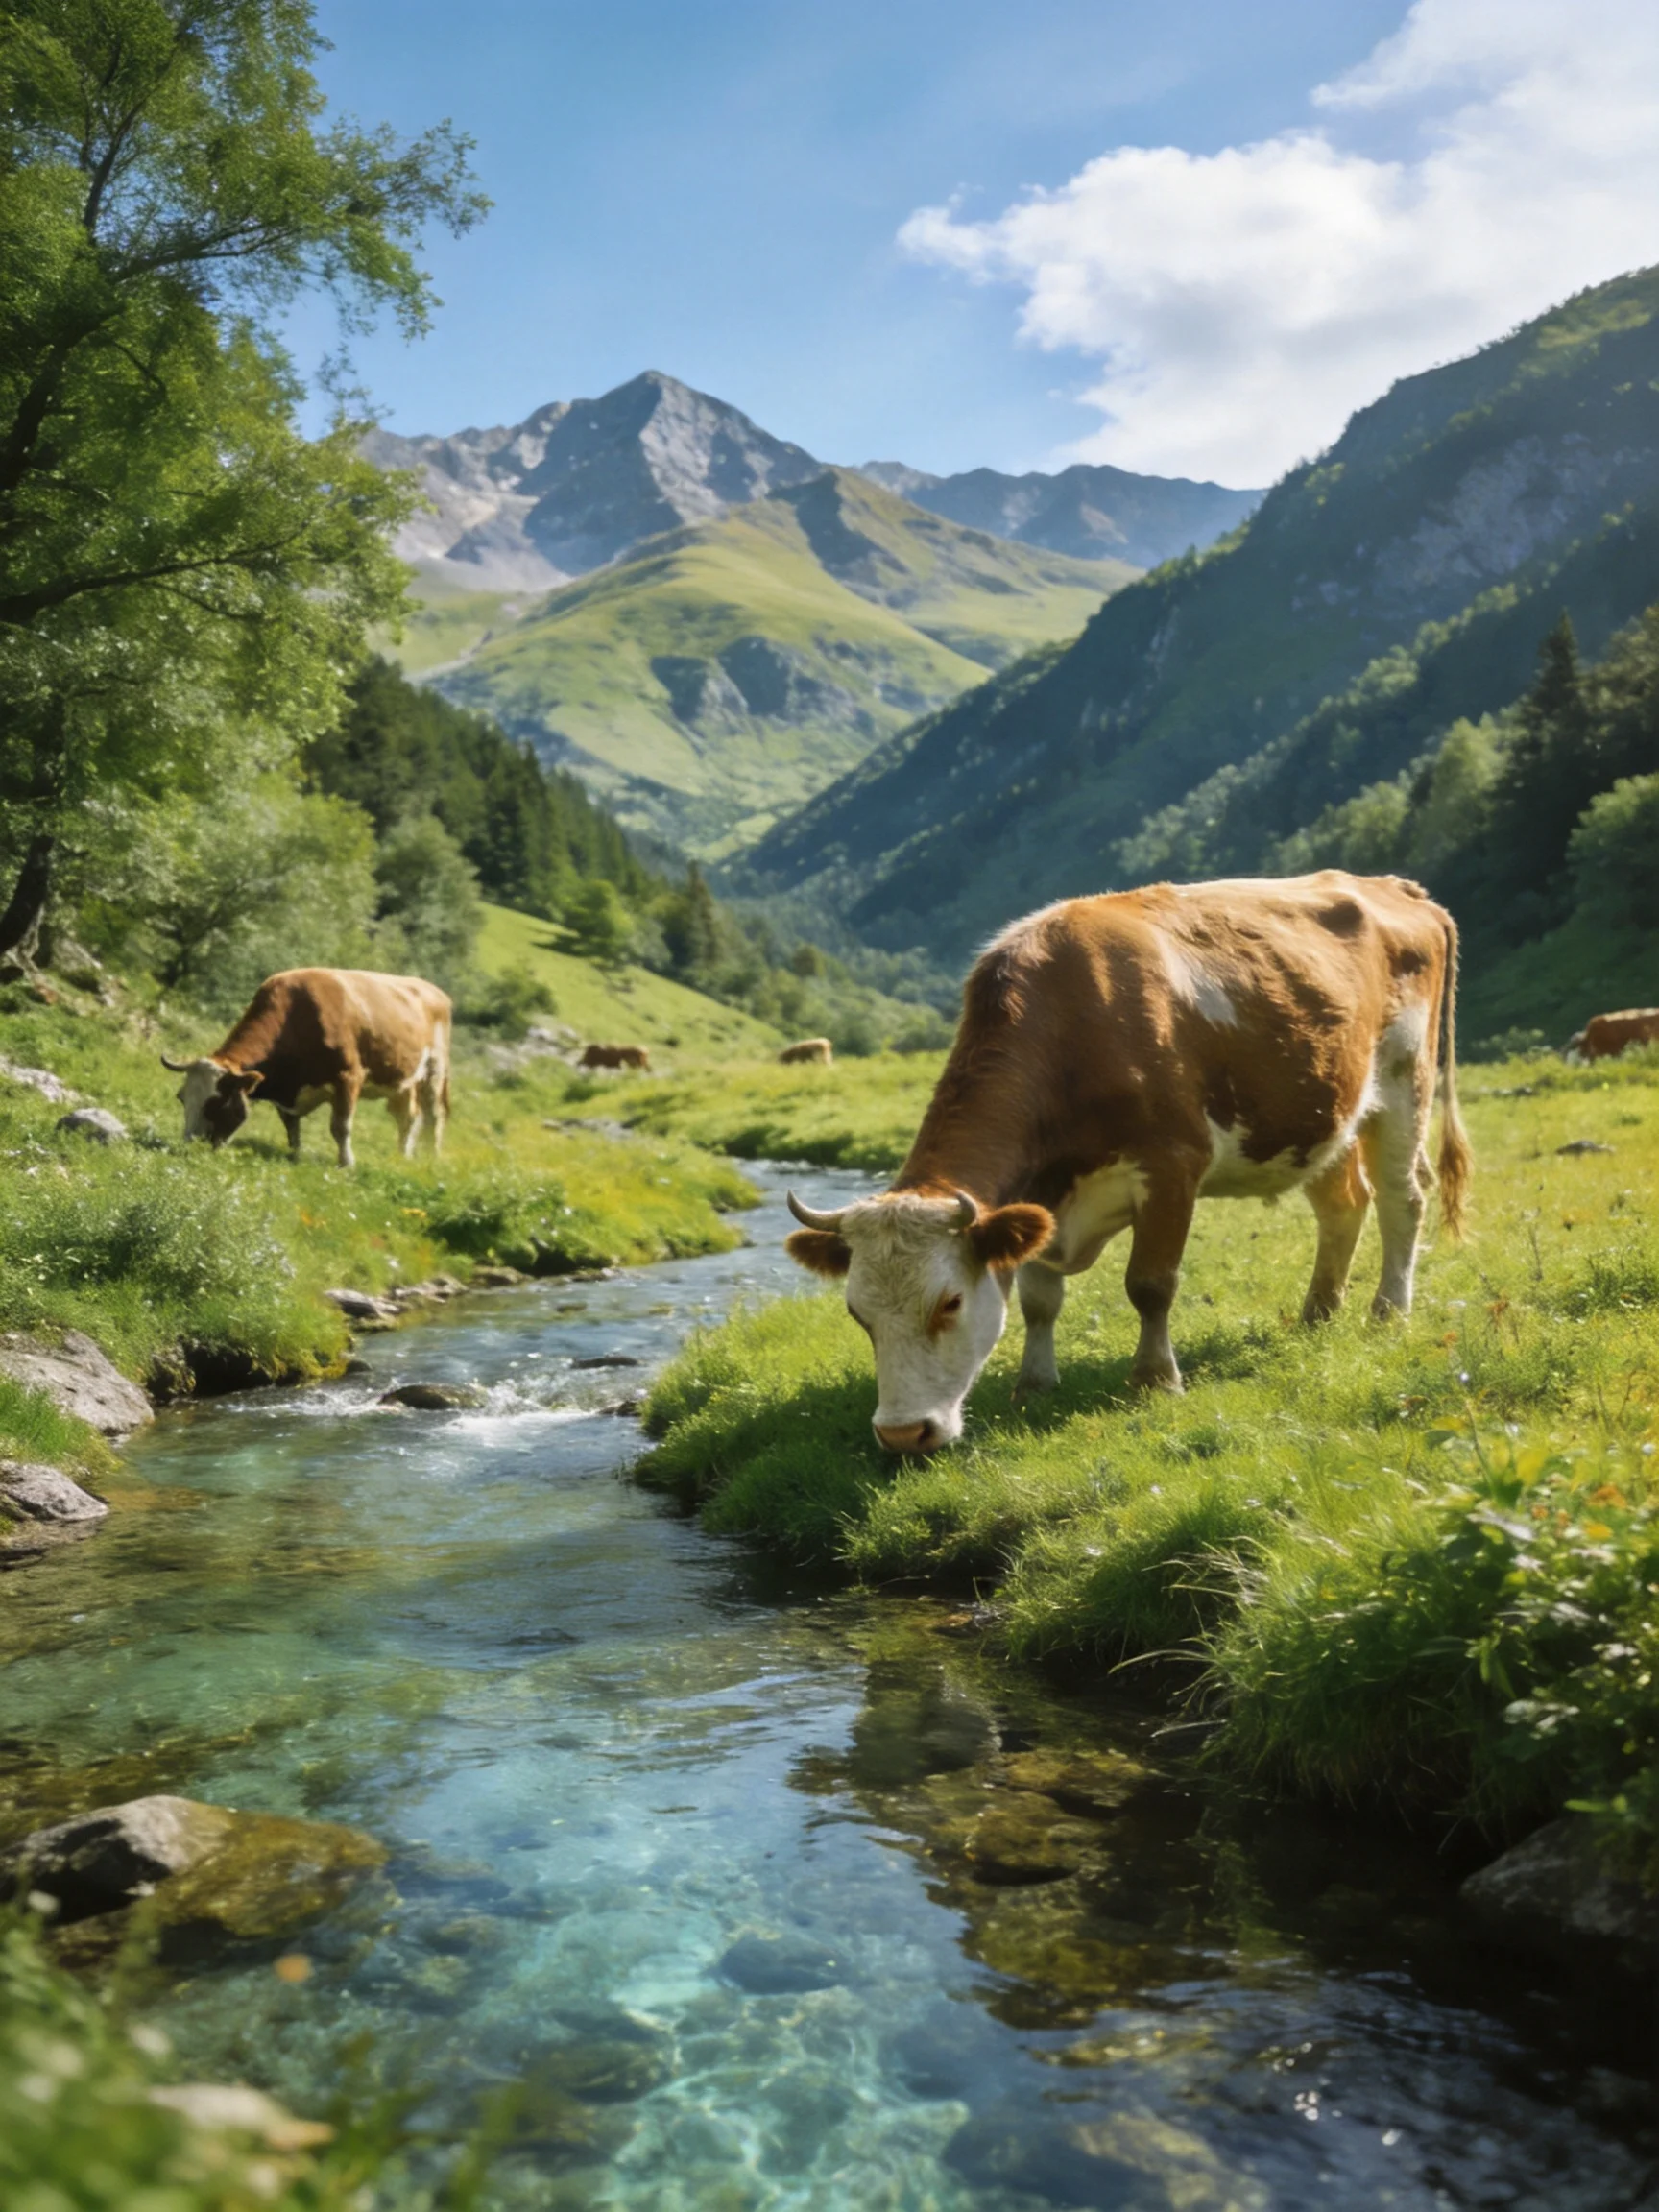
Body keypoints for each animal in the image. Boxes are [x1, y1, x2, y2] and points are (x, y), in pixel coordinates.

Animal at [163, 968, 451, 1168]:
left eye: (217, 1102)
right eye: (181, 1097)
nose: (188, 1145)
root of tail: (434, 991)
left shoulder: (348, 1077)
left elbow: (340, 1126)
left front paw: (346, 1163)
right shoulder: (287, 1094)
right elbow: (291, 1126)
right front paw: (294, 1154)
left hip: (435, 1071)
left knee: (434, 1116)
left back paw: (433, 1157)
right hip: (403, 1081)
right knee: (409, 1117)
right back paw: (404, 1155)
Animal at [785, 873, 1470, 1456]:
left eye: (949, 1303)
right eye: (857, 1313)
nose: (903, 1435)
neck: (1074, 1024)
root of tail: (1396, 887)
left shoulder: (1171, 1167)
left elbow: (1150, 1284)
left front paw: (1155, 1379)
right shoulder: (1040, 1198)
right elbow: (1039, 1300)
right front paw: (1034, 1383)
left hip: (1405, 1081)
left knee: (1402, 1198)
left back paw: (1388, 1311)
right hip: (1328, 1111)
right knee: (1343, 1204)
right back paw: (1318, 1315)